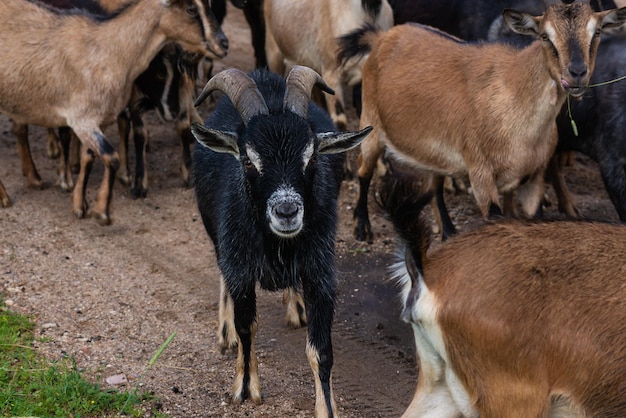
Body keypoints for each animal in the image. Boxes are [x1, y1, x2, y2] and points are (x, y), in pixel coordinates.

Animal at [0, 0, 227, 222]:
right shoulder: (81, 120)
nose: (223, 44)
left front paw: (80, 204)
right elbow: (111, 156)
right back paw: (6, 196)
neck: (110, 51)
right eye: (190, 9)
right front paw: (102, 211)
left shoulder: (97, 121)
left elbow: (89, 157)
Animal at [188, 67, 368, 416]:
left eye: (312, 158)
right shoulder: (240, 264)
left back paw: (295, 306)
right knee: (222, 273)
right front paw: (245, 389)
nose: (287, 211)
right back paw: (225, 332)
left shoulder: (320, 271)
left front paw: (327, 408)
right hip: (216, 234)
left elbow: (321, 351)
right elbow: (247, 327)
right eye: (247, 159)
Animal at [338, 0, 624, 242]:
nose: (577, 73)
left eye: (597, 32)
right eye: (545, 36)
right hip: (371, 123)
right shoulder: (481, 174)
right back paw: (362, 227)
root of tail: (382, 37)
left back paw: (448, 231)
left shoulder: (534, 177)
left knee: (433, 184)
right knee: (364, 171)